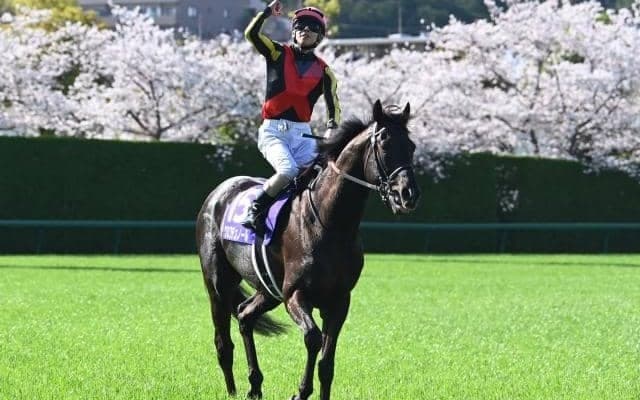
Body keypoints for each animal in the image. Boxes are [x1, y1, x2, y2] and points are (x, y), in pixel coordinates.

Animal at [196, 99, 421, 400]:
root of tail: (219, 192)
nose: (407, 195)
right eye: (384, 143)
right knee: (223, 340)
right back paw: (232, 390)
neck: (331, 224)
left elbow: (327, 360)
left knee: (244, 315)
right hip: (219, 284)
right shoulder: (295, 294)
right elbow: (313, 339)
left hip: (268, 289)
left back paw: (255, 384)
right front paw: (301, 392)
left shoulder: (339, 300)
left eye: (411, 146)